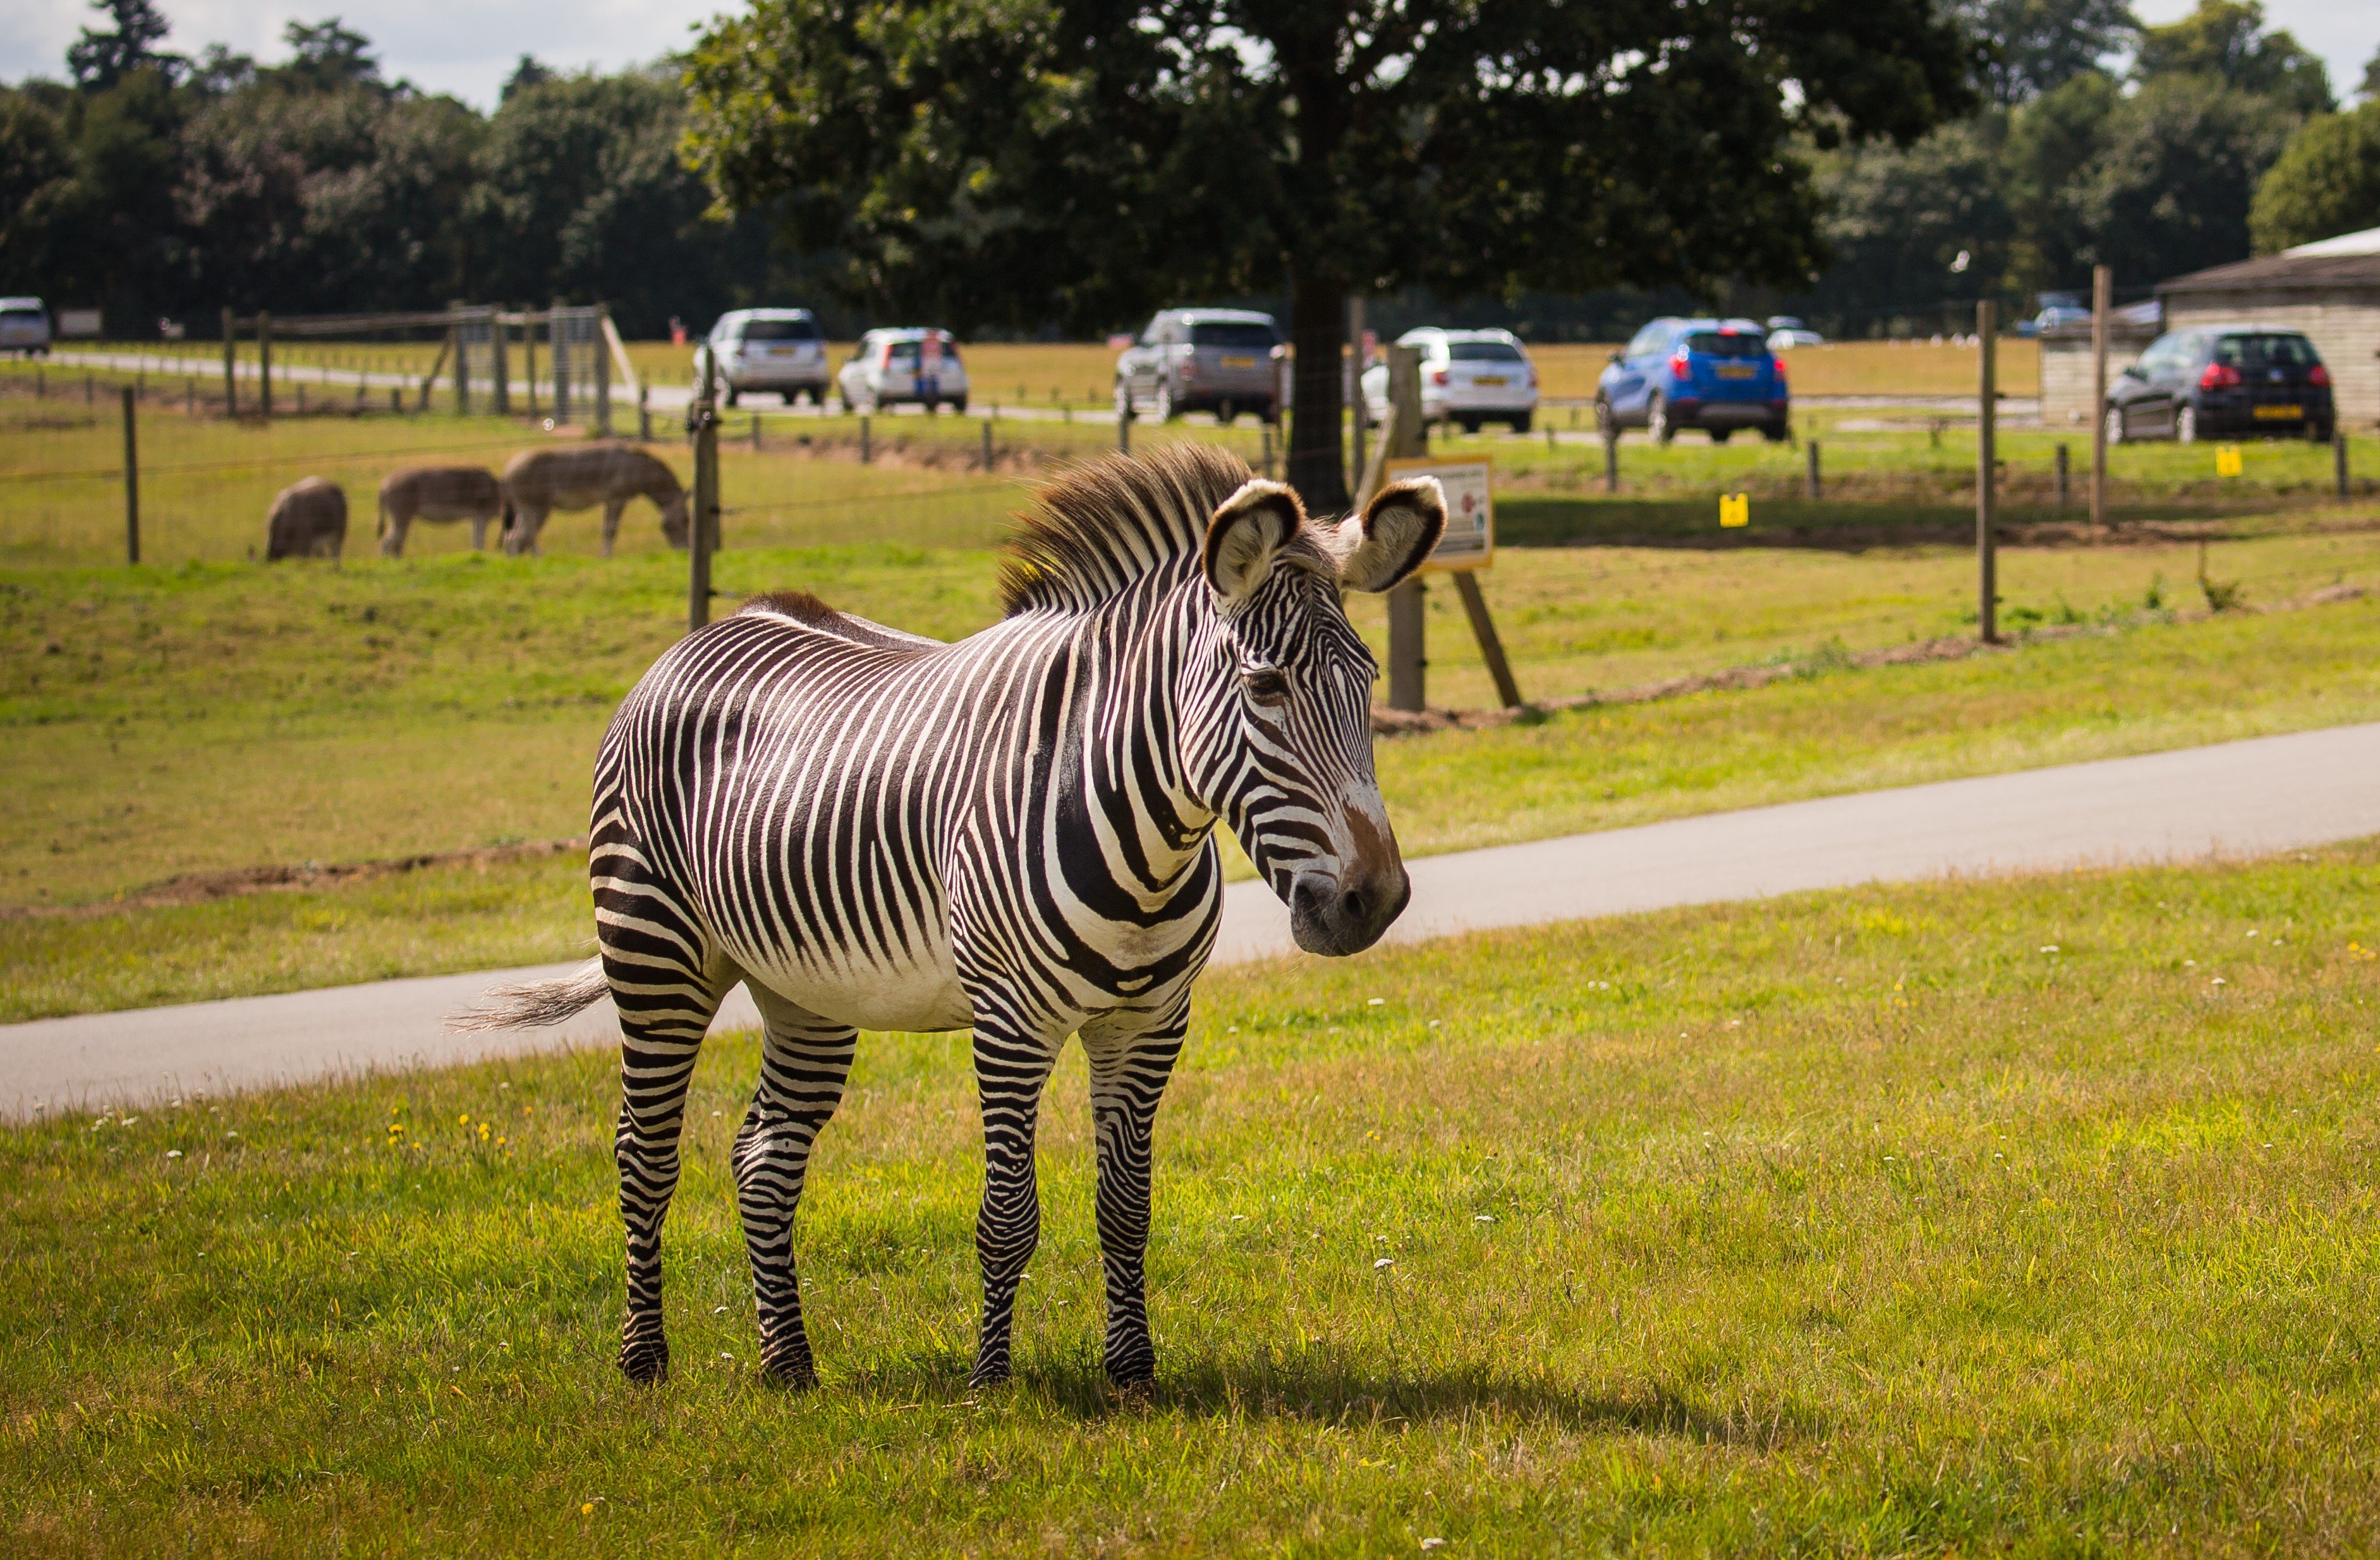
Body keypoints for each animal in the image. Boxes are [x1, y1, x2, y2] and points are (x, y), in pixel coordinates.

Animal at [454, 437, 1437, 1389]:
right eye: (1266, 688)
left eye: (1368, 680)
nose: (1375, 901)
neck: (1144, 838)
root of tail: (702, 634)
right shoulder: (1009, 1022)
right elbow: (1008, 1211)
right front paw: (990, 1382)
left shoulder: (1149, 1023)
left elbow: (1126, 1206)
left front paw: (1131, 1374)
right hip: (655, 952)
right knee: (645, 1152)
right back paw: (644, 1361)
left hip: (804, 993)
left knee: (765, 1158)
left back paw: (789, 1367)